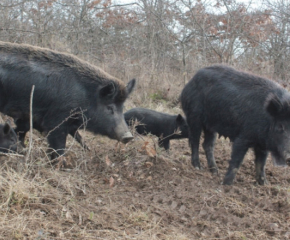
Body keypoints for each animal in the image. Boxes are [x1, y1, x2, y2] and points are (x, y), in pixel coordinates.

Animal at [0, 42, 135, 160]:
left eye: (122, 108)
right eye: (109, 107)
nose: (129, 137)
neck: (85, 97)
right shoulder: (56, 121)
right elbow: (58, 146)